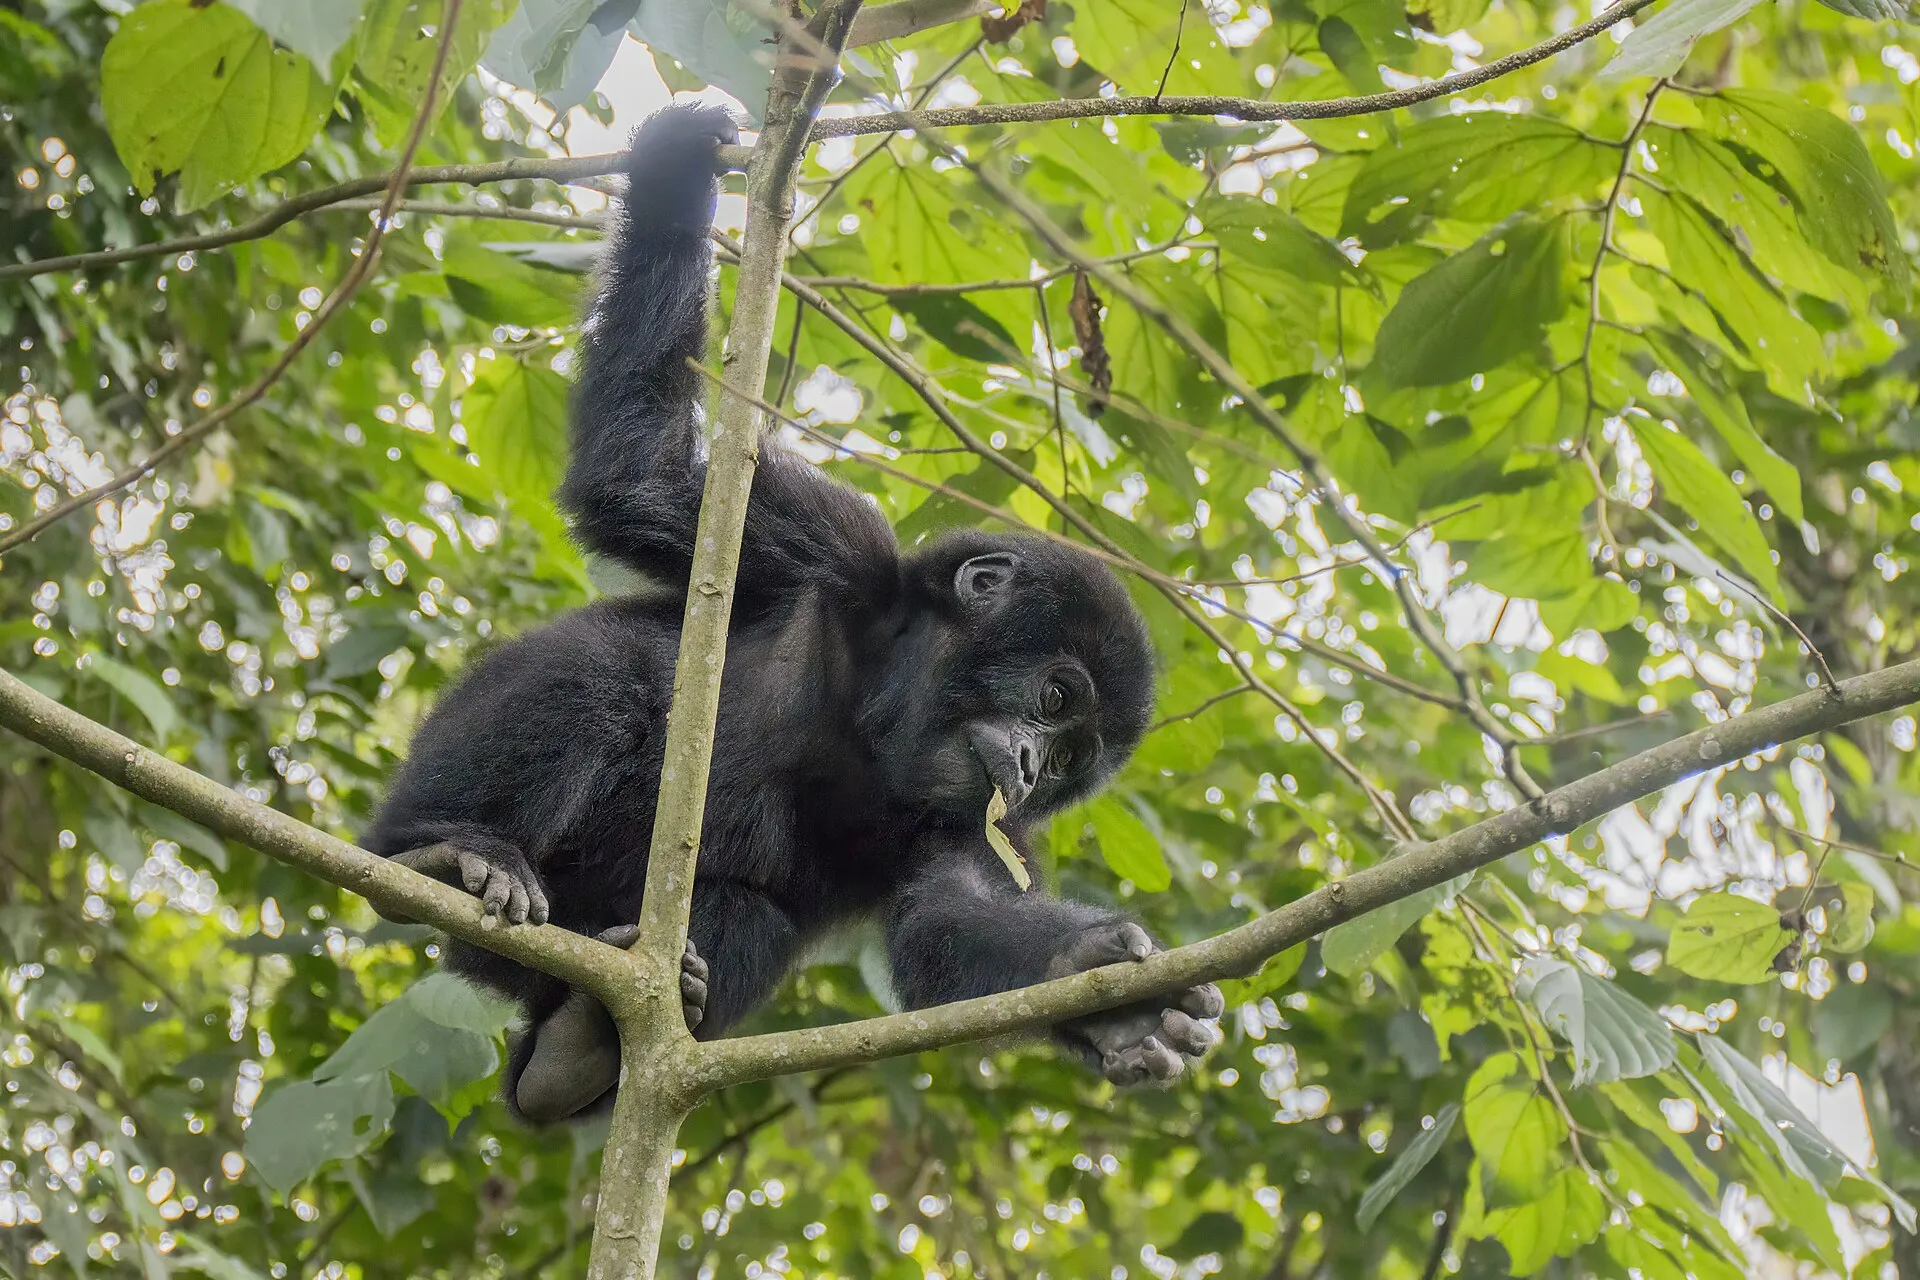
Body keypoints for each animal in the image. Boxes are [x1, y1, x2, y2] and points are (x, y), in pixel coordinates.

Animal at [366, 103, 1223, 1124]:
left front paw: (1104, 991)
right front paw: (678, 169)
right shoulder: (829, 543)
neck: (880, 696)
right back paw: (444, 850)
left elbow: (950, 917)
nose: (1024, 765)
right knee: (596, 678)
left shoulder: (983, 827)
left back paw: (578, 1048)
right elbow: (640, 478)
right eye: (1056, 700)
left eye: (1064, 763)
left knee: (747, 919)